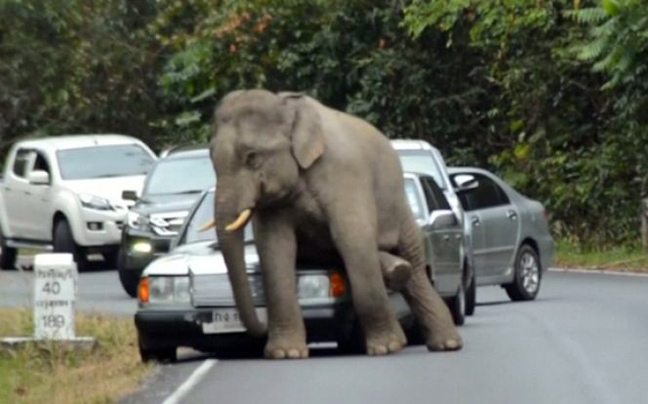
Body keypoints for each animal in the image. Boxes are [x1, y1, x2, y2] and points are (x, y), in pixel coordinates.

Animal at [211, 90, 460, 358]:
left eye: (252, 158)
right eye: (211, 160)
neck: (288, 107)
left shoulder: (346, 173)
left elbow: (353, 237)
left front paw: (387, 347)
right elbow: (274, 248)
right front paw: (286, 354)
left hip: (400, 207)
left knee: (414, 266)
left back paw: (447, 343)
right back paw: (398, 270)